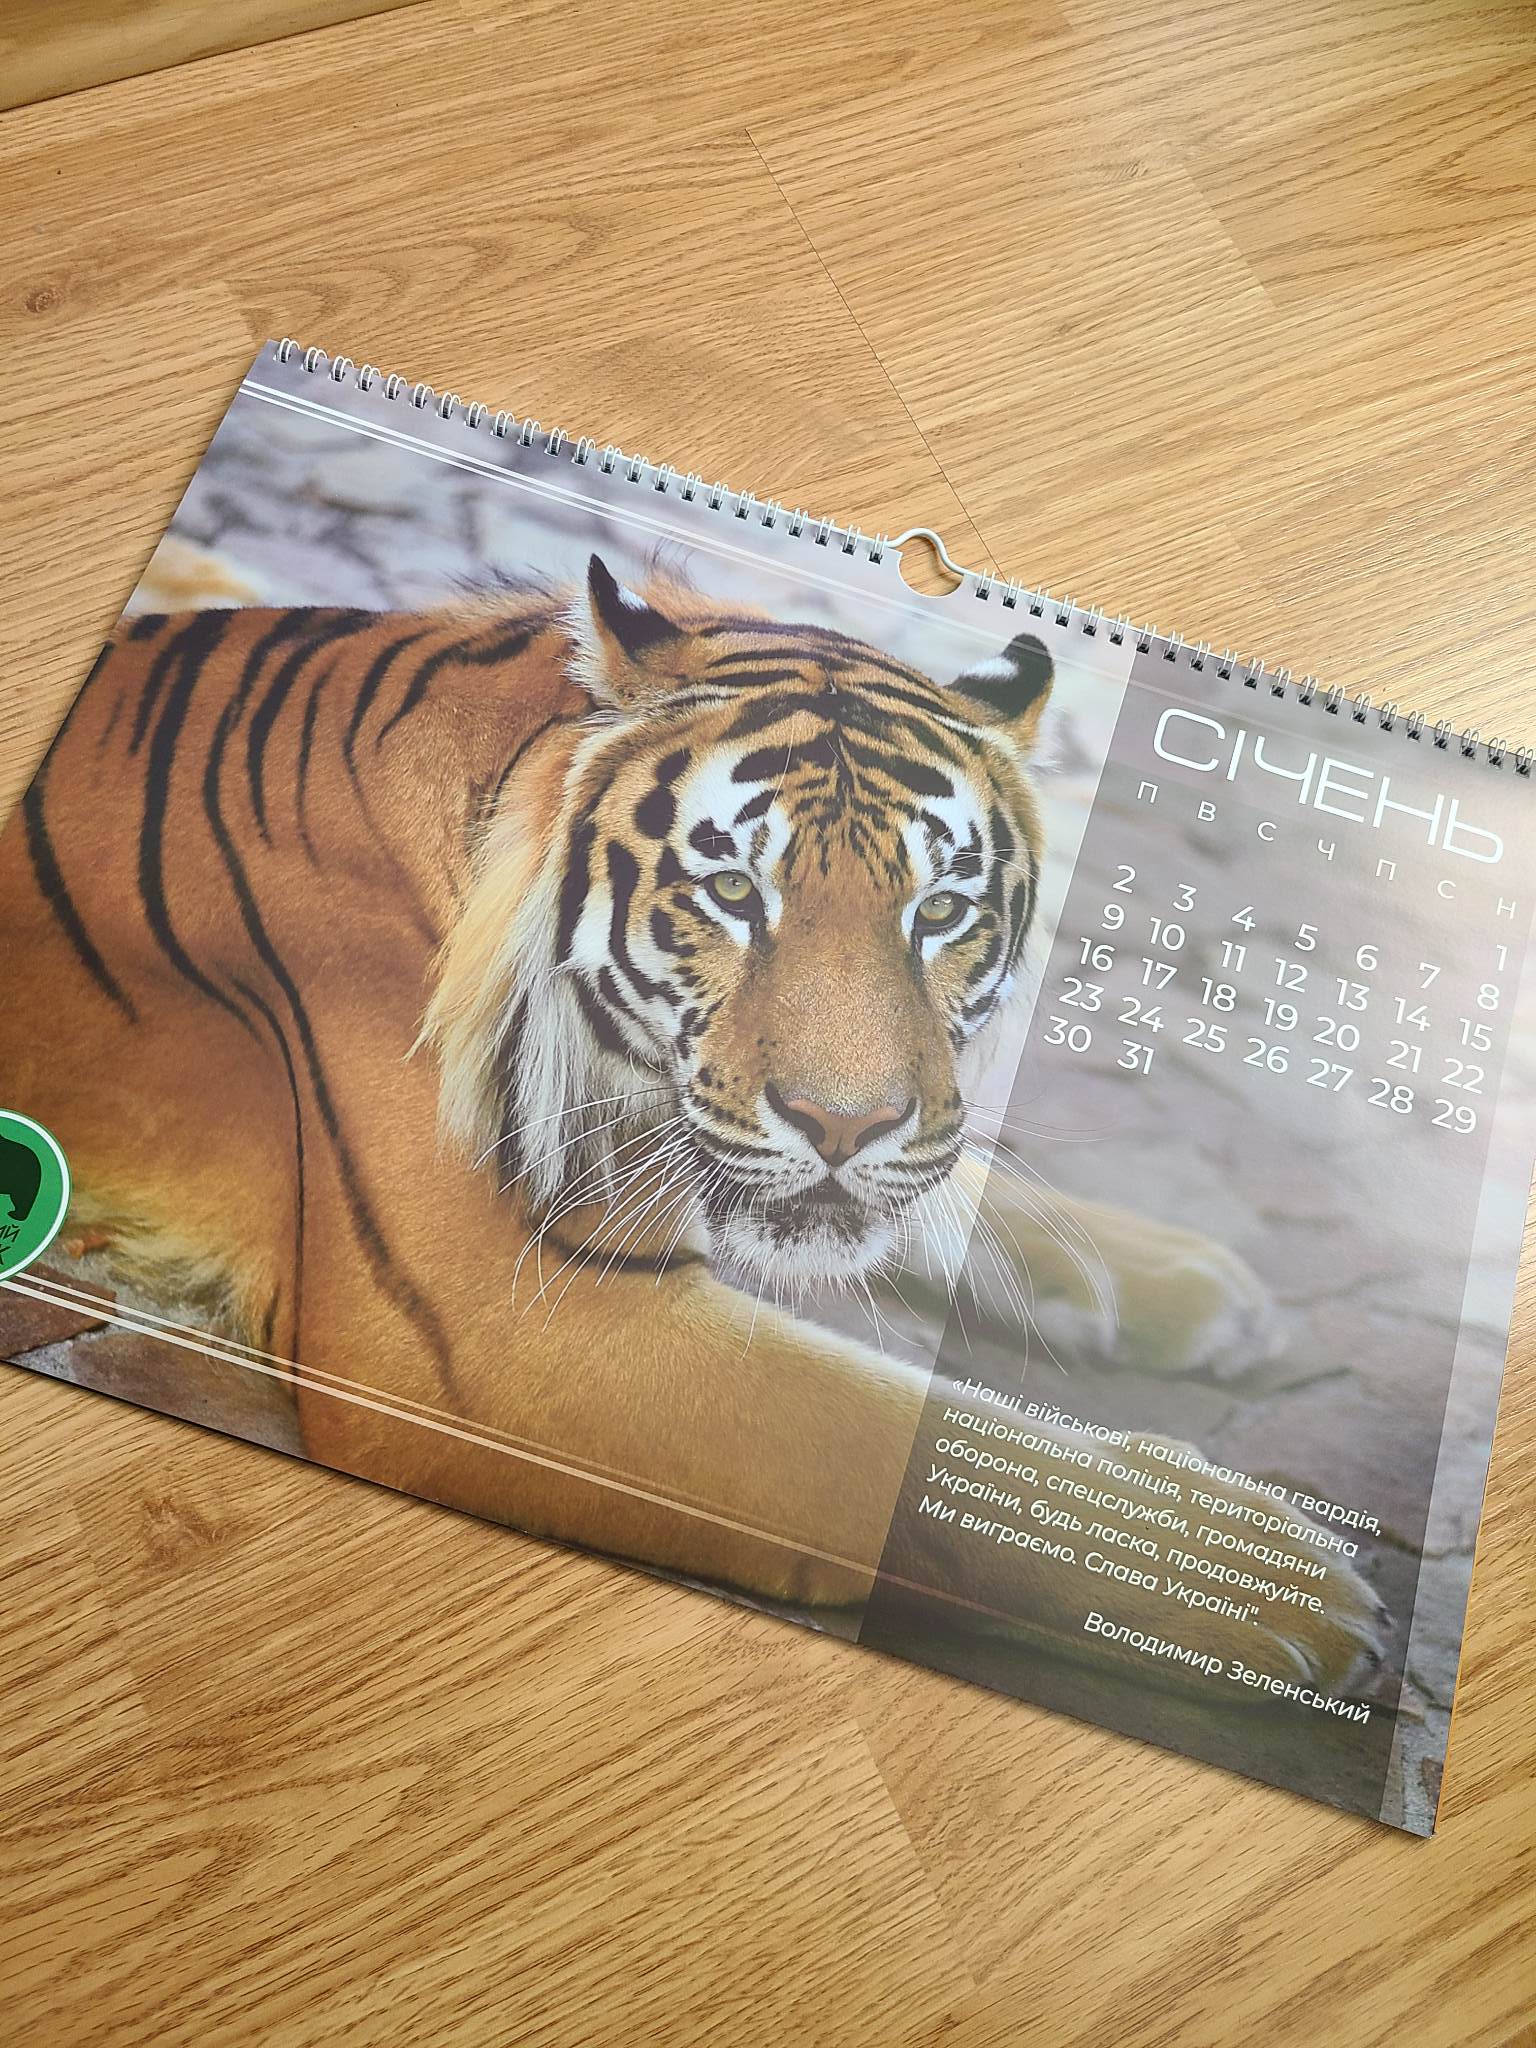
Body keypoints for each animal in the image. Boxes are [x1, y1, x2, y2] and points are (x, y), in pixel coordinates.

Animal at [0, 557, 1386, 1687]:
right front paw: (1259, 1577)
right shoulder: (501, 1332)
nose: (843, 1126)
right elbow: (879, 1435)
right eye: (730, 891)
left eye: (938, 911)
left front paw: (1172, 1280)